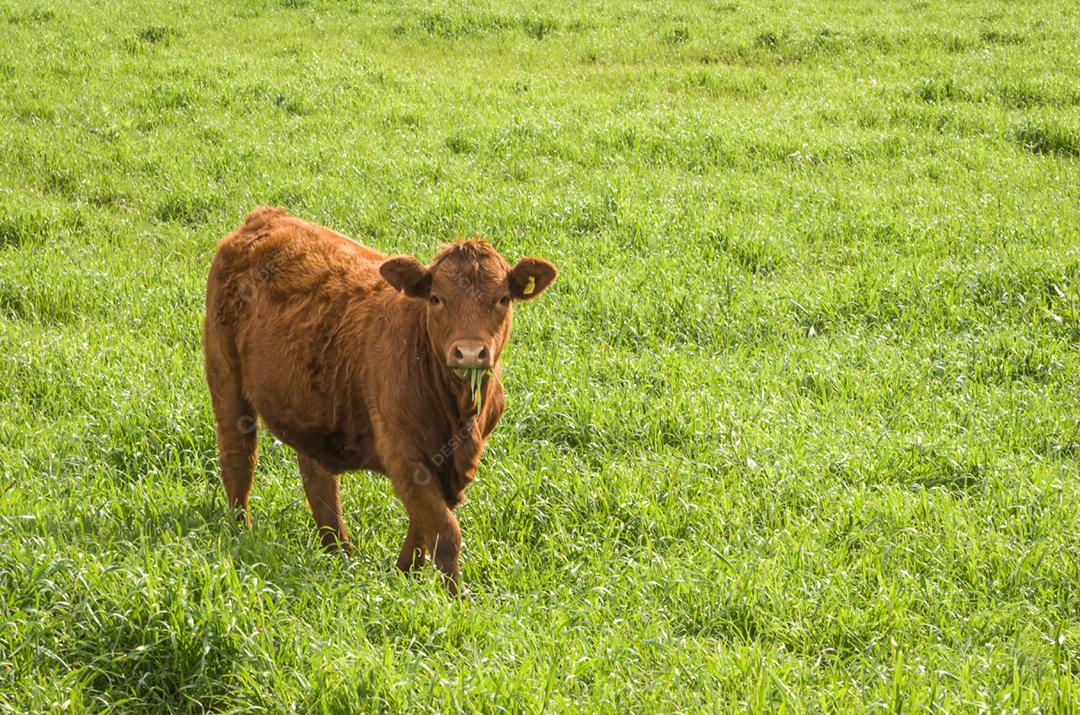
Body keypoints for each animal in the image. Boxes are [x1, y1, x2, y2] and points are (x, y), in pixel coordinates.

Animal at [203, 206, 557, 591]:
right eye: (436, 298)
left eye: (502, 299)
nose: (469, 352)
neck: (458, 414)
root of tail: (266, 217)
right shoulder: (401, 451)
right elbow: (445, 532)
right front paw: (456, 597)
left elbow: (424, 525)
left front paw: (403, 574)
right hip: (225, 378)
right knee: (239, 456)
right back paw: (242, 531)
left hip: (309, 401)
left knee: (318, 480)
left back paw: (338, 551)